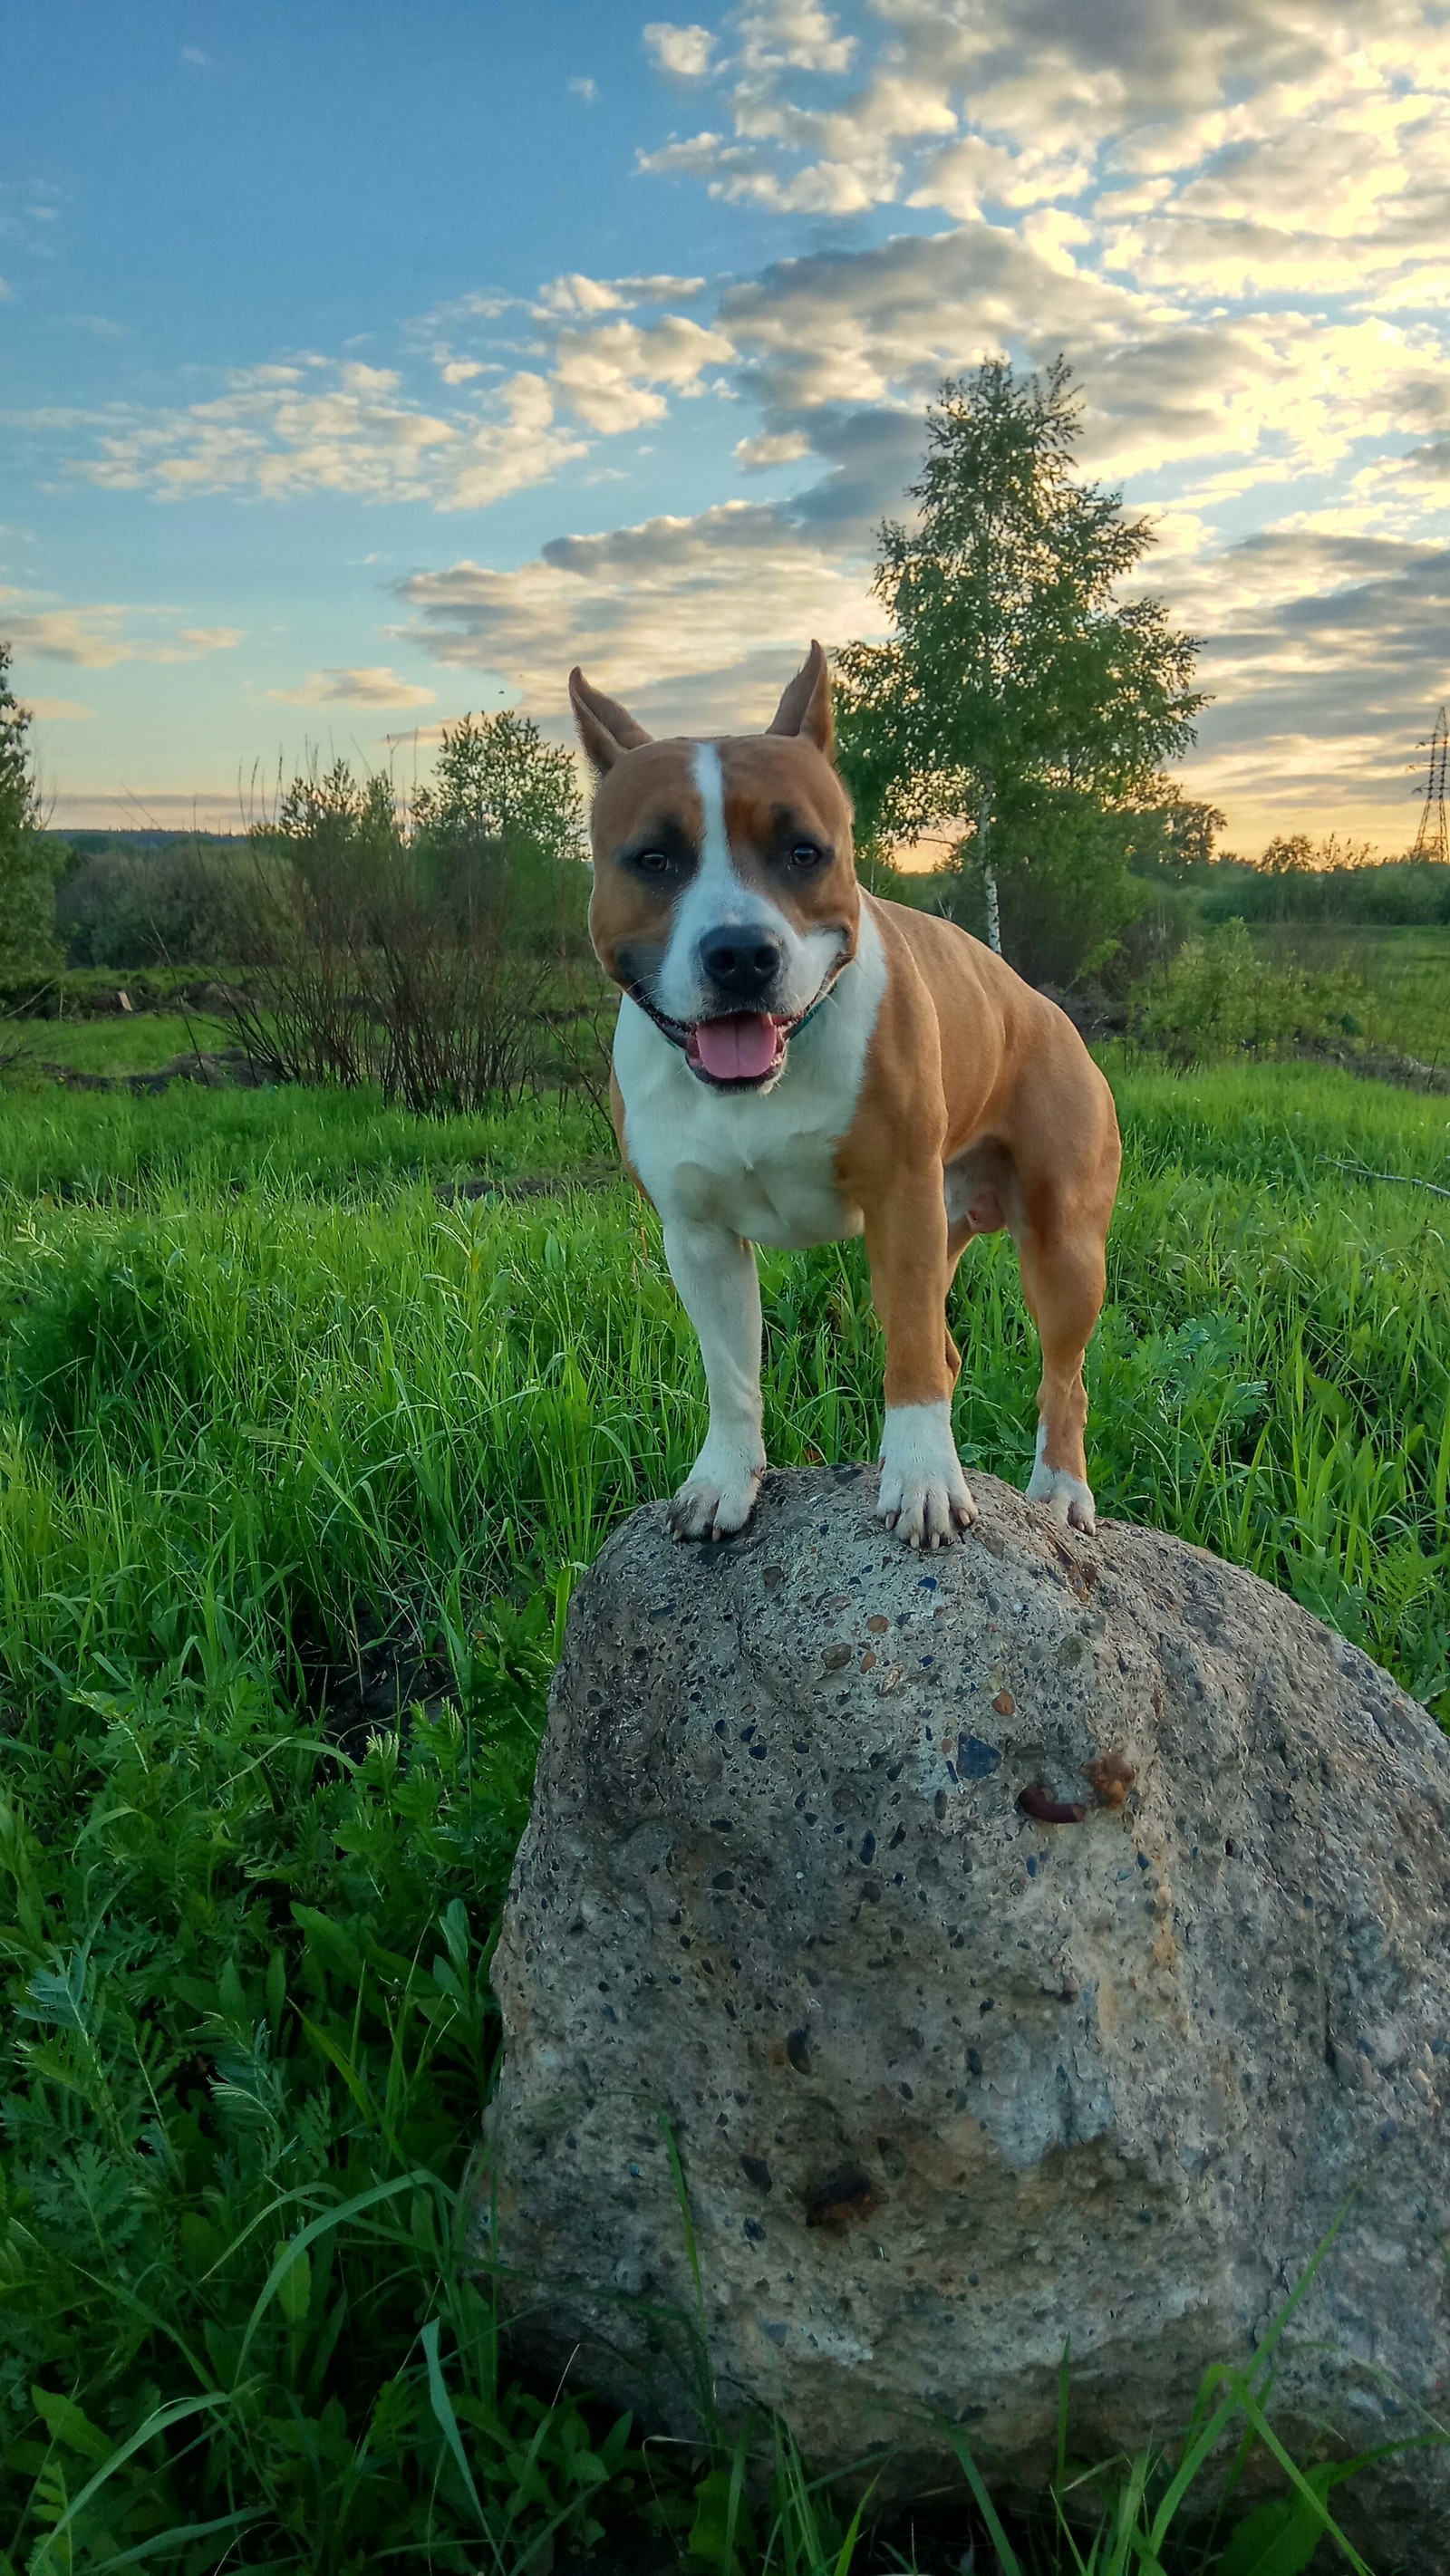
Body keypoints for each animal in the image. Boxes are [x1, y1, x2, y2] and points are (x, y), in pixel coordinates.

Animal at [566, 643, 1123, 1545]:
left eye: (804, 852)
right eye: (654, 859)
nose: (741, 953)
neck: (765, 1082)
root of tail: (1046, 1008)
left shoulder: (901, 1202)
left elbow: (912, 1360)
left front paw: (926, 1481)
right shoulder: (697, 1235)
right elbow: (731, 1372)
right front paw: (723, 1479)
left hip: (1063, 1245)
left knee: (1054, 1376)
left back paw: (1060, 1492)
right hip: (946, 1229)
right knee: (944, 1346)